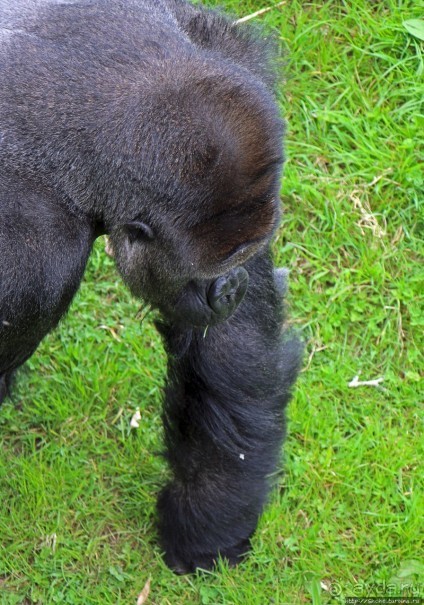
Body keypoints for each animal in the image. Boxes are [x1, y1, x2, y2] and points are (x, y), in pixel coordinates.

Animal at [0, 0, 302, 572]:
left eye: (244, 258)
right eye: (201, 275)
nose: (229, 289)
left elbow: (233, 358)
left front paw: (208, 522)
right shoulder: (33, 261)